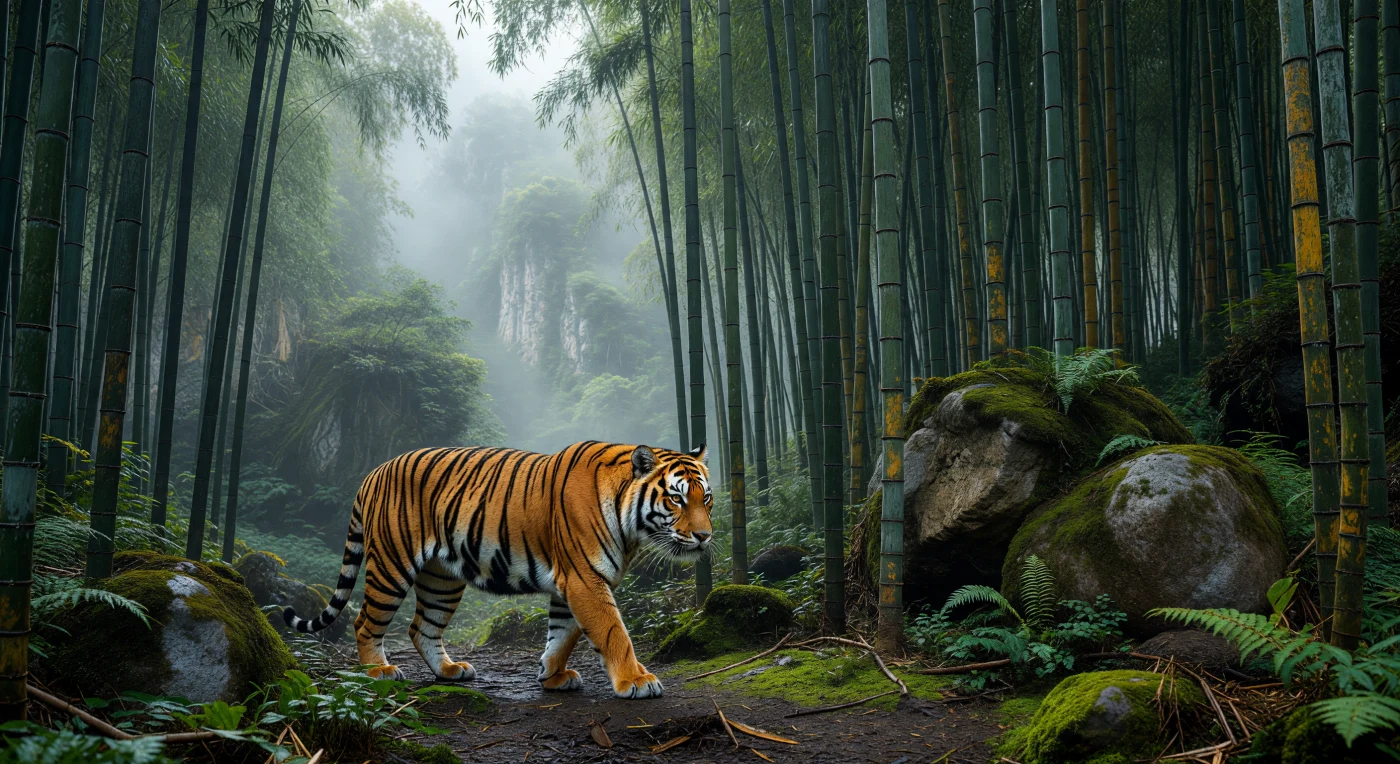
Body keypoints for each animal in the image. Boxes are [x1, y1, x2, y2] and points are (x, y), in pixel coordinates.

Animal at [282, 440, 712, 699]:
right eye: (676, 499)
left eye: (705, 498)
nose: (706, 536)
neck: (631, 526)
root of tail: (374, 472)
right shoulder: (585, 579)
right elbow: (612, 632)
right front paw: (636, 680)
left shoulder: (570, 583)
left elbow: (564, 634)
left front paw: (552, 676)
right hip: (391, 565)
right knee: (365, 622)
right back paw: (378, 672)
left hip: (442, 579)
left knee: (422, 627)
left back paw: (450, 670)